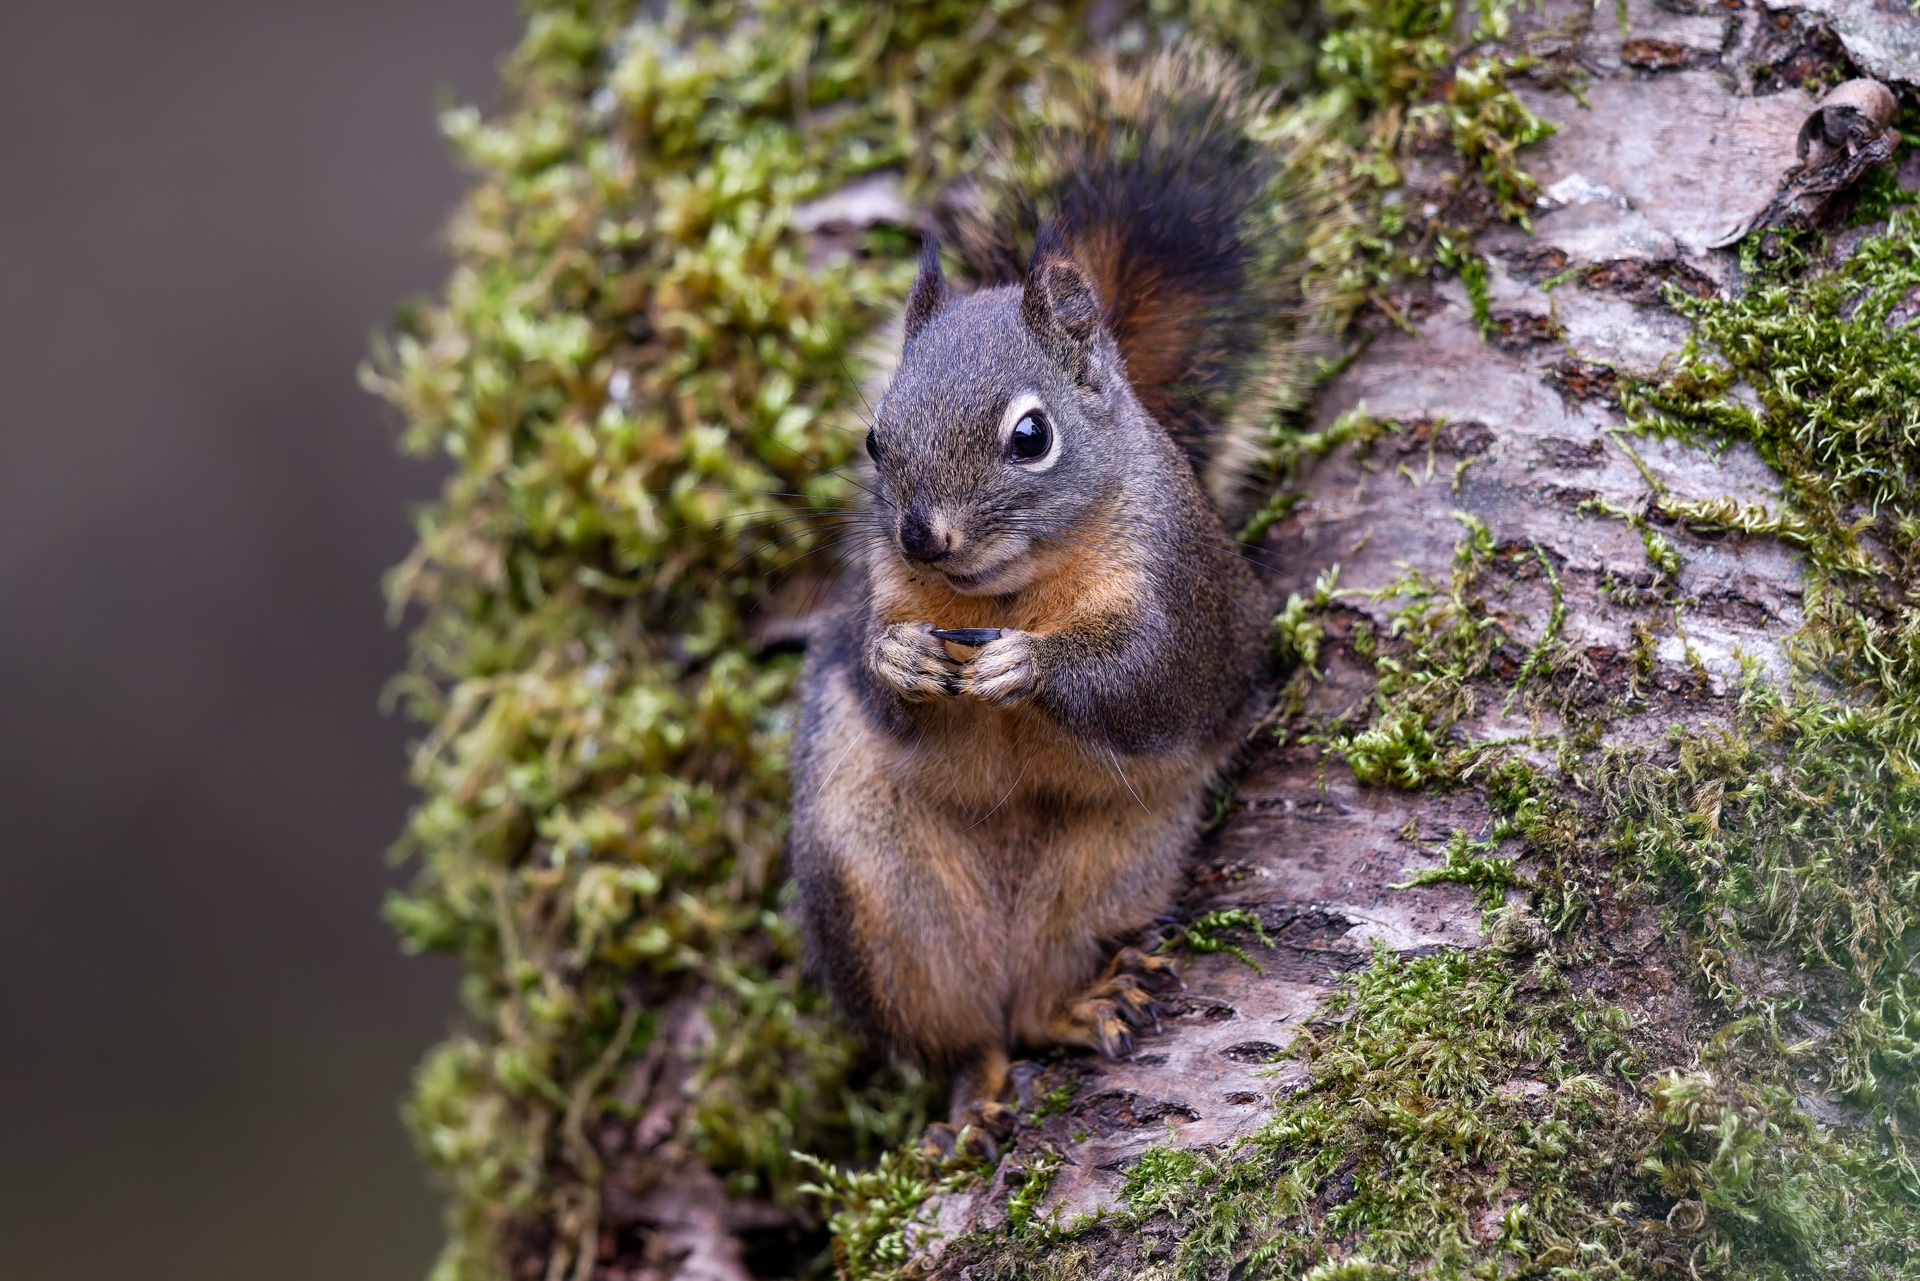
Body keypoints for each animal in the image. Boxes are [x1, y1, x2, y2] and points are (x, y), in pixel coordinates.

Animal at [787, 47, 1311, 1124]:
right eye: (874, 439)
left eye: (1031, 436)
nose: (921, 536)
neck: (1004, 594)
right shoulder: (875, 587)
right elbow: (874, 671)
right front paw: (900, 659)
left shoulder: (1182, 593)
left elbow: (1151, 677)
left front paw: (1028, 667)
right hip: (877, 899)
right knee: (965, 1033)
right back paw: (973, 1096)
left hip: (1114, 867)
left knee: (1033, 998)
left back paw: (1078, 1004)